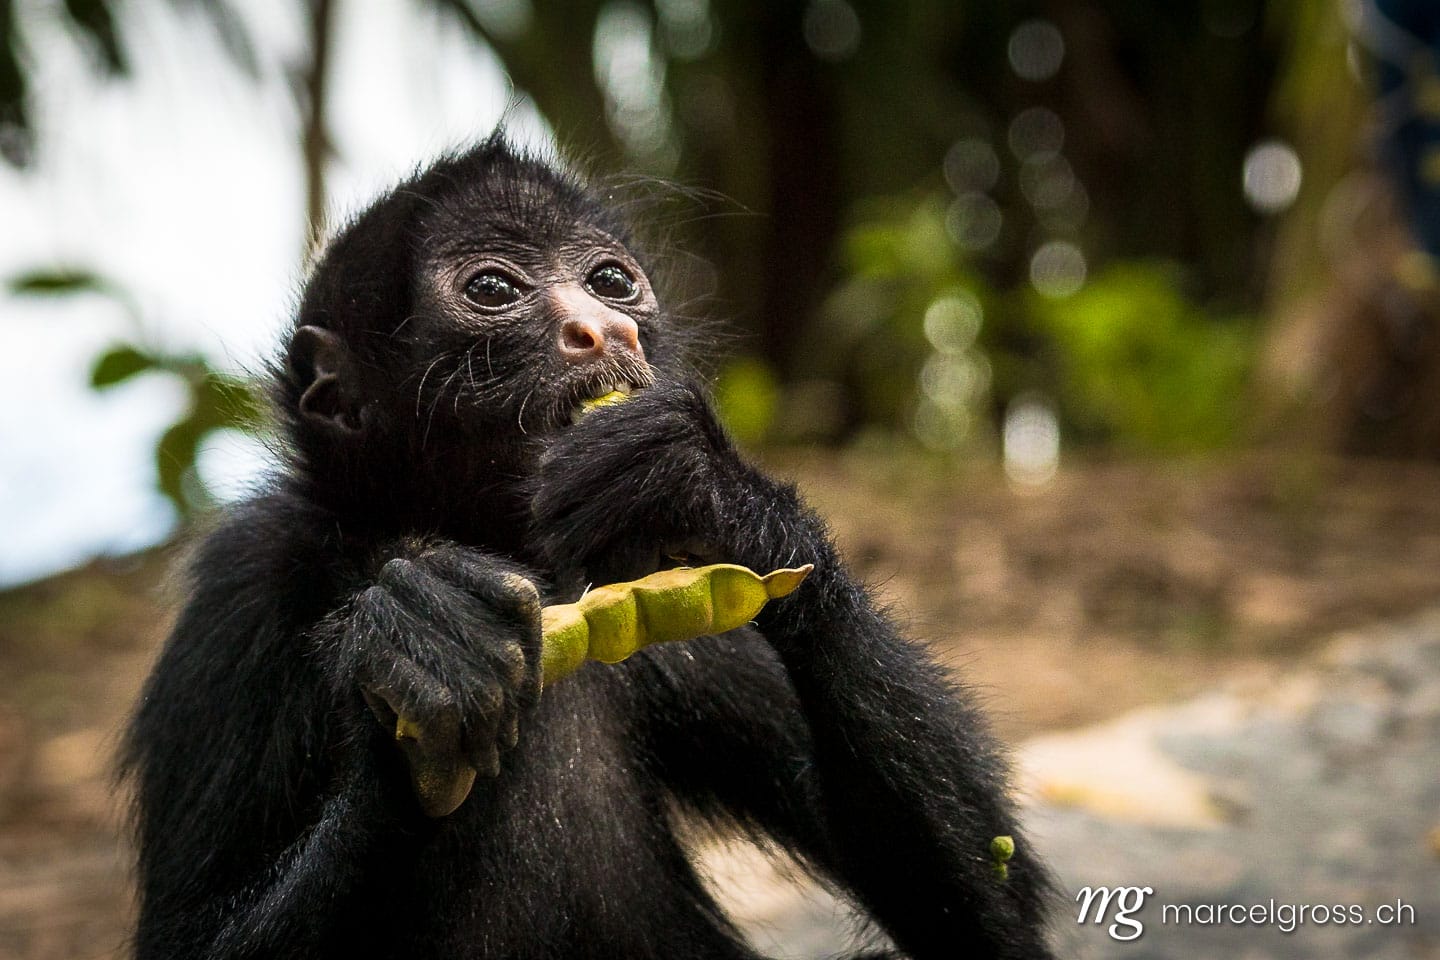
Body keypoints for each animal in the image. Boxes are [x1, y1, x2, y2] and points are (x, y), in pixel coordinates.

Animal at [121, 134, 1054, 960]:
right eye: (493, 288)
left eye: (611, 282)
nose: (604, 329)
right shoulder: (243, 588)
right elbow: (189, 940)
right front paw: (424, 664)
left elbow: (993, 909)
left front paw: (718, 493)